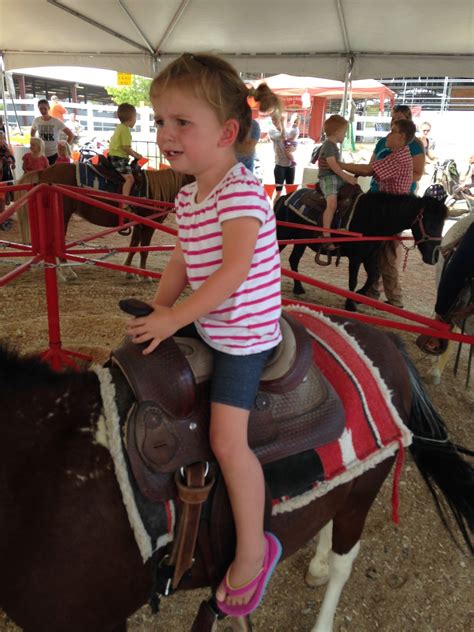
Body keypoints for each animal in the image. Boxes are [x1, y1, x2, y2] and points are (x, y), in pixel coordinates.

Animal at [15, 164, 192, 272]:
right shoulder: (149, 225)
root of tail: (44, 172)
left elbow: (134, 245)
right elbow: (144, 250)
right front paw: (143, 274)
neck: (154, 189)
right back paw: (67, 271)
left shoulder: (139, 224)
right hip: (61, 216)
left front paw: (129, 271)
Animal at [276, 191, 446, 312]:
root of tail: (285, 197)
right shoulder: (356, 258)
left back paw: (298, 288)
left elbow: (372, 276)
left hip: (301, 241)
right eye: (429, 222)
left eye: (443, 223)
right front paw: (350, 304)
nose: (434, 256)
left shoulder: (369, 256)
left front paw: (358, 297)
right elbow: (353, 280)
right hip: (283, 235)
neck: (372, 218)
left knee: (293, 260)